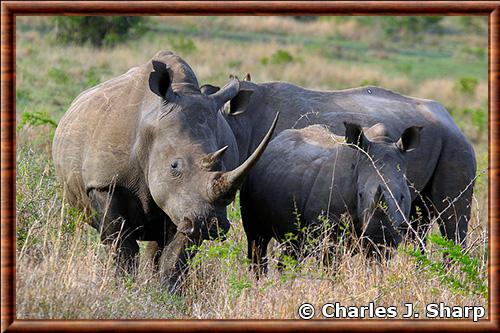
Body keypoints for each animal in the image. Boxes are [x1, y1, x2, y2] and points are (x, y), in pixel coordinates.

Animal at [52, 50, 278, 290]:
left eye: (225, 164)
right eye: (174, 166)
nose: (211, 225)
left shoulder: (186, 204)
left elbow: (175, 254)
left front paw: (166, 292)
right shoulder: (104, 183)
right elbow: (121, 244)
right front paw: (123, 287)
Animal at [242, 122, 422, 272]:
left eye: (403, 197)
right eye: (360, 195)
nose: (379, 236)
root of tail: (275, 139)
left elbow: (378, 262)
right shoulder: (328, 225)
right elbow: (332, 263)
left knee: (294, 248)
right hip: (251, 173)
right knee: (257, 239)